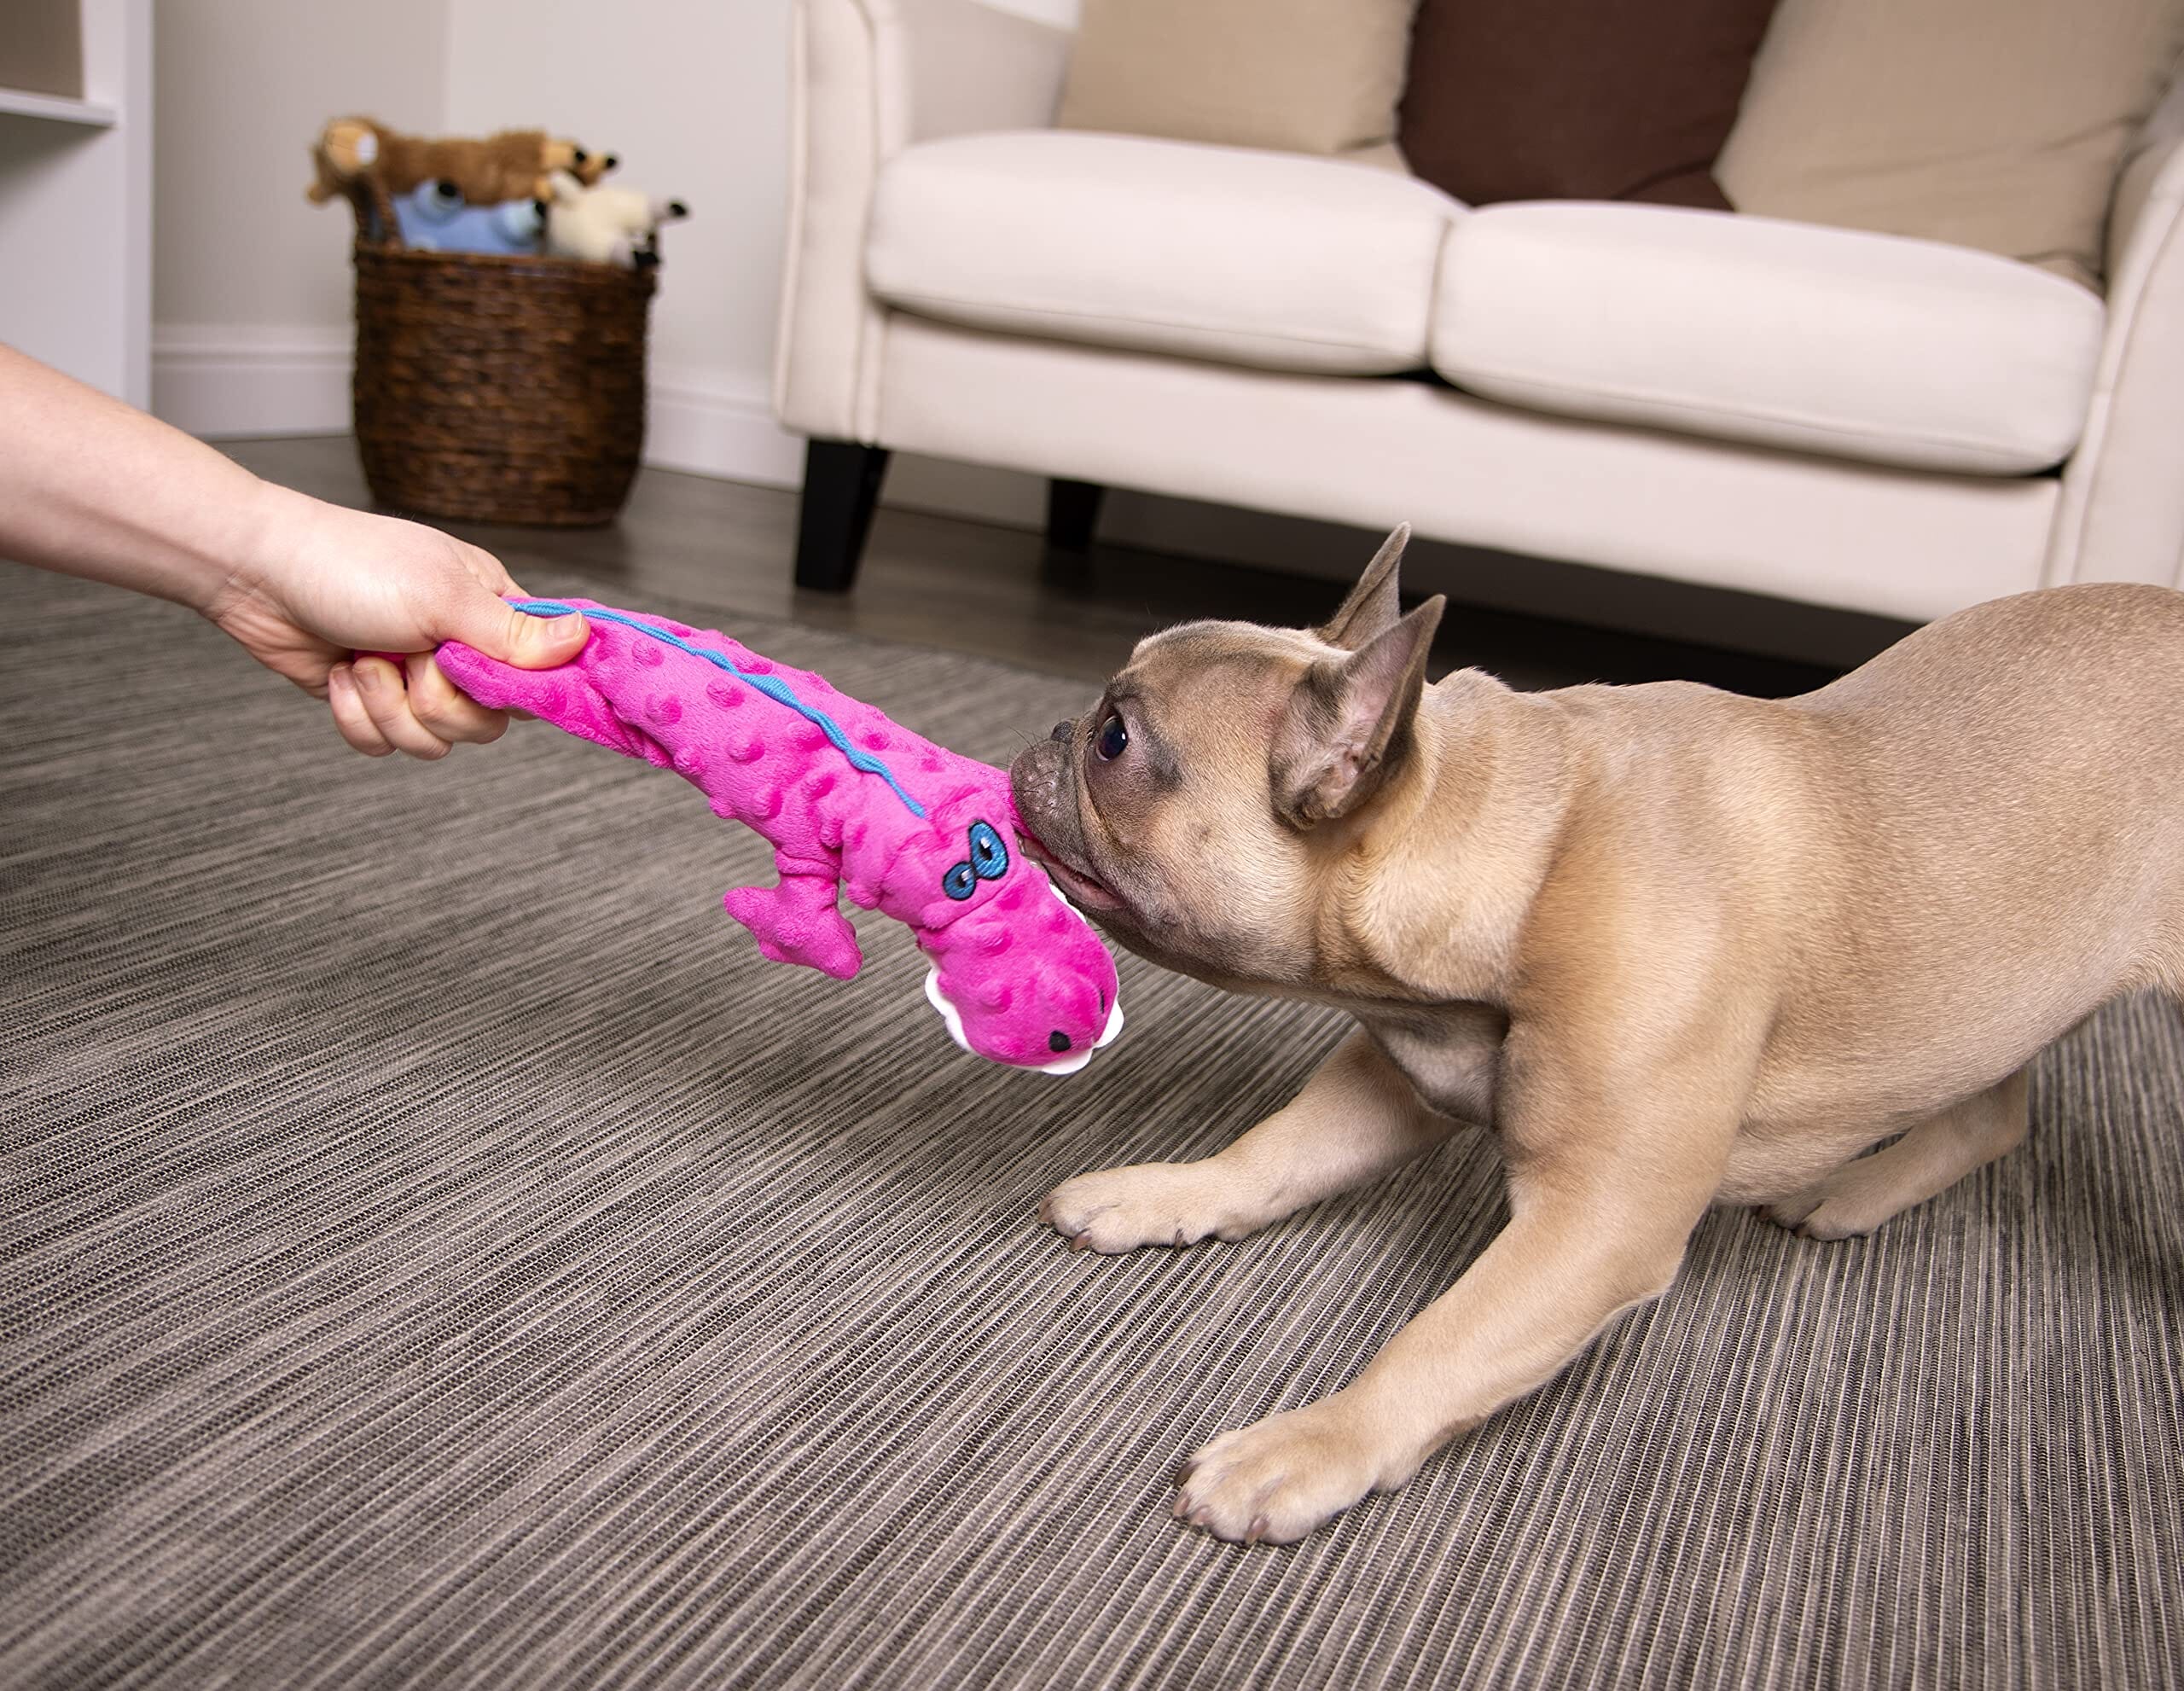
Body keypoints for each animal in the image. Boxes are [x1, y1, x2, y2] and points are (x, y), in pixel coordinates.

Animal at [1008, 528, 2184, 1546]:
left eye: (1117, 739)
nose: (1054, 731)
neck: (1525, 852)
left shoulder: (1593, 1227)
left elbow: (1441, 1337)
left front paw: (1311, 1442)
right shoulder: (1398, 1071)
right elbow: (1271, 1154)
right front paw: (1163, 1191)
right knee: (1992, 1103)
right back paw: (1854, 1189)